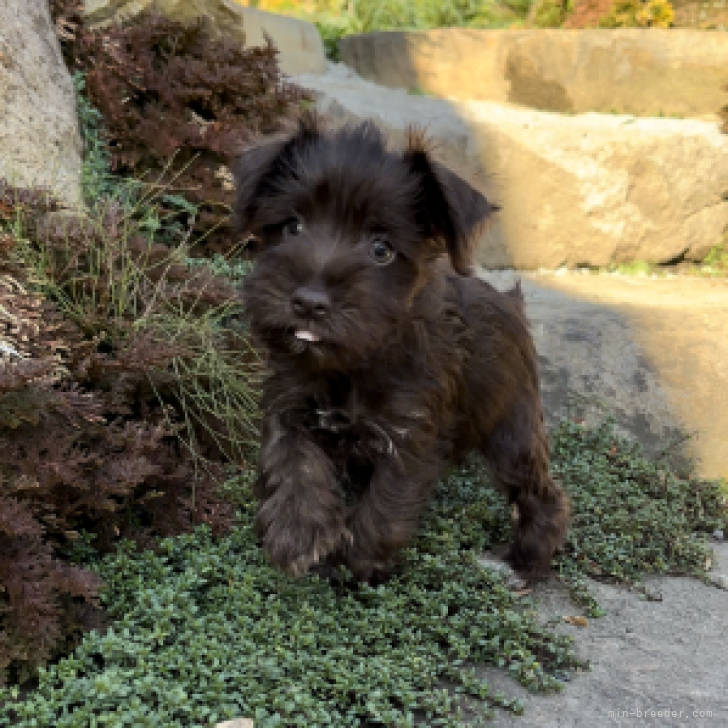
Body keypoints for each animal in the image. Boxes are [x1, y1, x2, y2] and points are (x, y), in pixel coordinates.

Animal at [233, 112, 568, 580]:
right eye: (292, 226)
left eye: (382, 249)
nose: (309, 302)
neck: (353, 364)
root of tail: (511, 302)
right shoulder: (290, 402)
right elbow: (291, 458)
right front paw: (297, 528)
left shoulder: (409, 437)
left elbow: (384, 509)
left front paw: (354, 562)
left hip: (512, 433)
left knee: (542, 491)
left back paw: (531, 554)